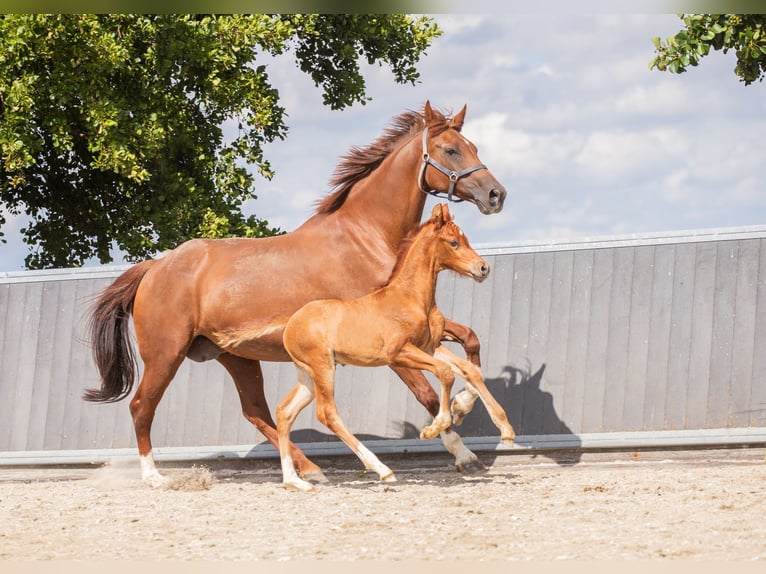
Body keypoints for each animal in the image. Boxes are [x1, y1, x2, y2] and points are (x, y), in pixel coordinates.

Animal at [279, 204, 516, 491]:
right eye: (454, 242)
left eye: (466, 239)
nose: (483, 268)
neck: (412, 298)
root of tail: (290, 325)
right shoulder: (398, 353)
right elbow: (445, 373)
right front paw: (433, 428)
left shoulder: (430, 347)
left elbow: (468, 370)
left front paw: (505, 430)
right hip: (322, 367)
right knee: (327, 413)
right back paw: (382, 470)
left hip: (308, 375)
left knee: (284, 412)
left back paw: (294, 481)